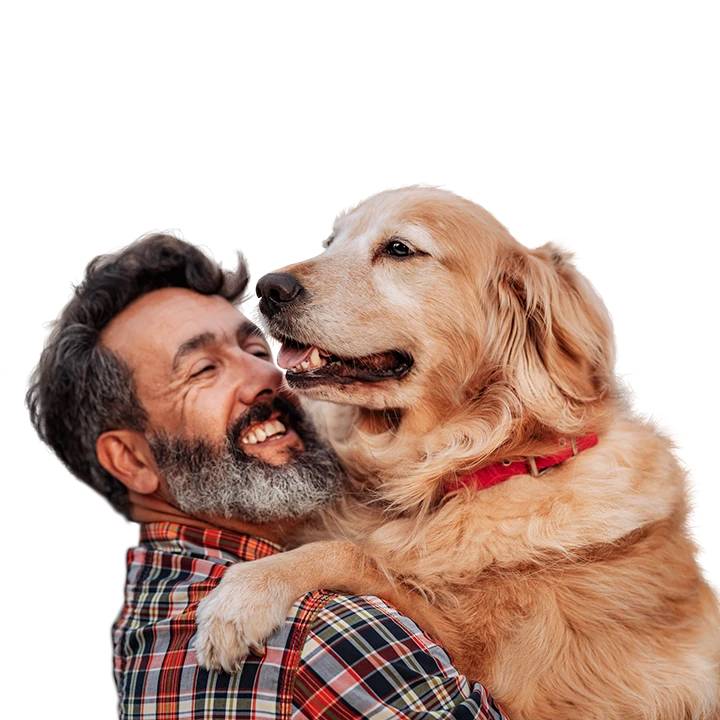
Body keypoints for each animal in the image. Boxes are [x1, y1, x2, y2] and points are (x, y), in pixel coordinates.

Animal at [194, 188, 716, 716]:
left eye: (400, 249)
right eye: (332, 242)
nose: (268, 288)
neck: (474, 464)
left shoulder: (505, 677)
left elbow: (350, 554)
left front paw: (241, 597)